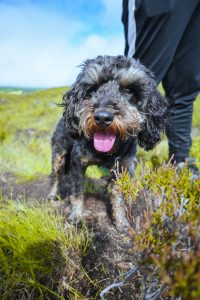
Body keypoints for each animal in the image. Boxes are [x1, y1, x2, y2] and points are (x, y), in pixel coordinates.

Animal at [47, 55, 167, 232]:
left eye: (129, 90)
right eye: (93, 88)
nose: (103, 117)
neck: (106, 152)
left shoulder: (123, 168)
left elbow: (118, 197)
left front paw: (121, 222)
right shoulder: (77, 163)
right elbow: (77, 192)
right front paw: (76, 215)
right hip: (59, 154)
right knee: (56, 175)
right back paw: (52, 194)